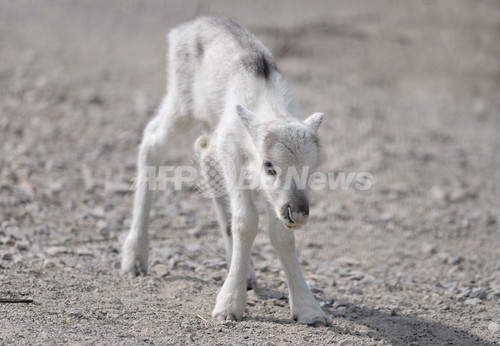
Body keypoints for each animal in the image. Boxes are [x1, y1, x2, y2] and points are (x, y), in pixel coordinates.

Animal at [121, 14, 332, 326]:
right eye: (269, 165)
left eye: (313, 168)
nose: (298, 213)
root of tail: (186, 27)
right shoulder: (233, 155)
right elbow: (246, 221)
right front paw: (229, 306)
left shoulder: (273, 196)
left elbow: (281, 235)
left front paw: (310, 311)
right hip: (182, 101)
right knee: (152, 139)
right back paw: (134, 259)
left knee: (202, 151)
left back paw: (246, 272)